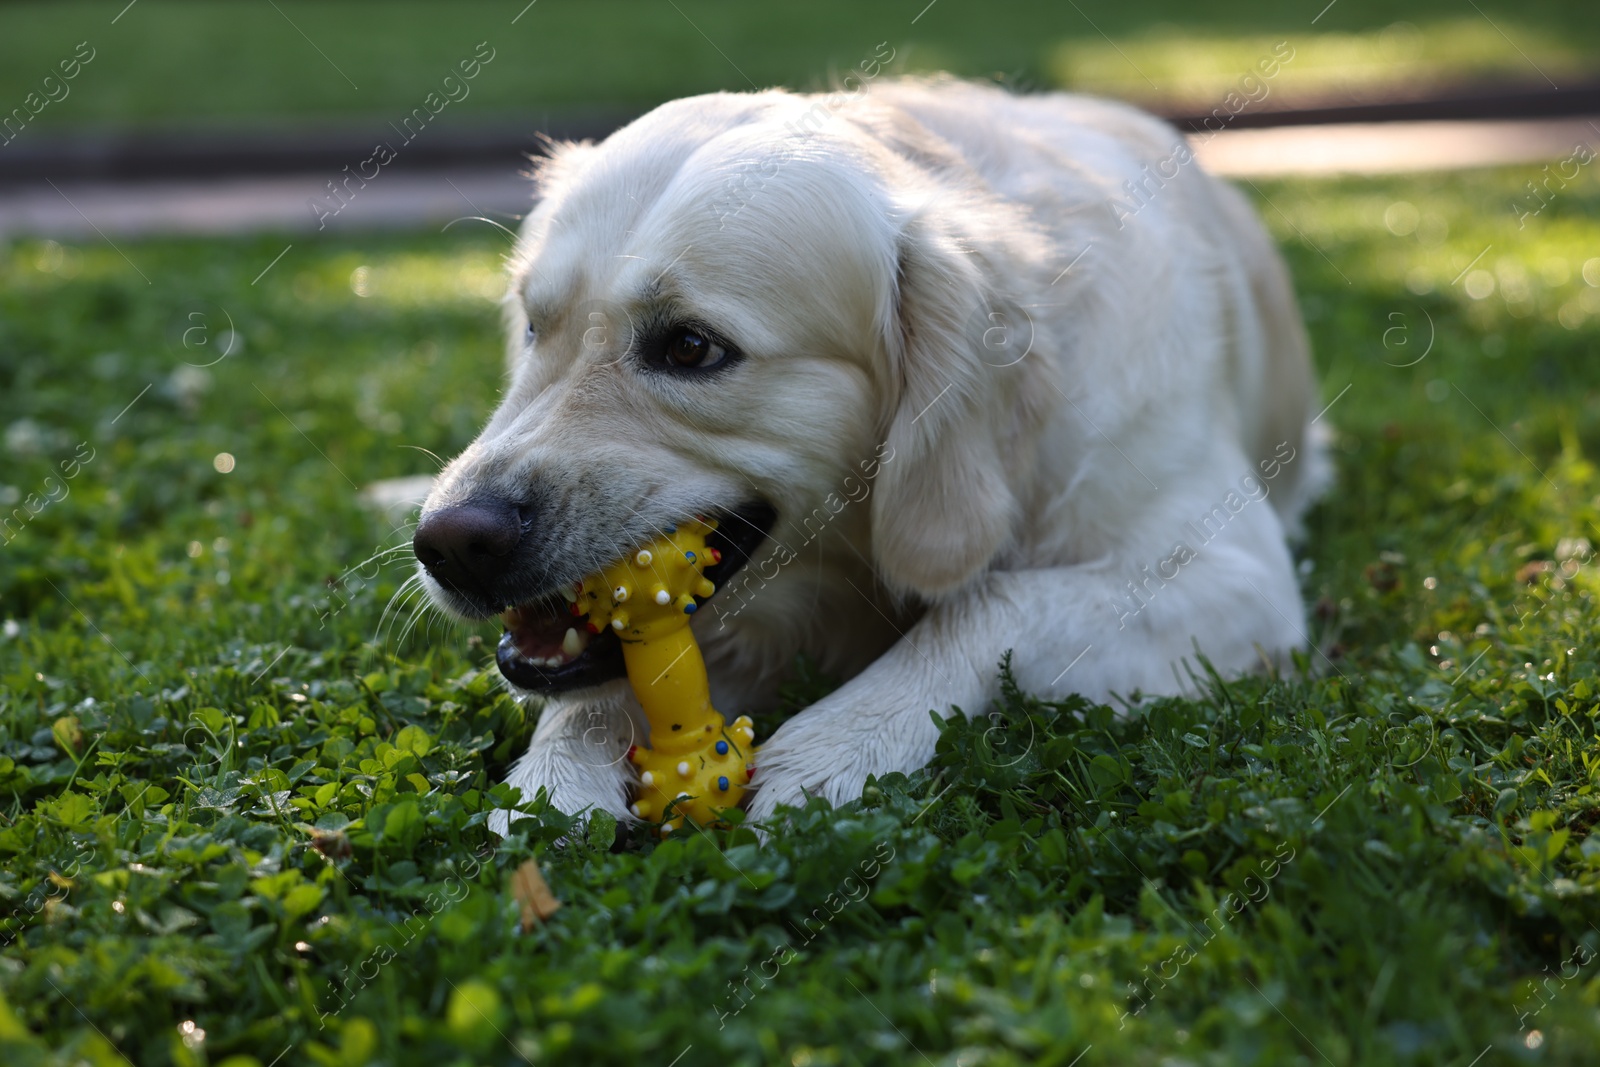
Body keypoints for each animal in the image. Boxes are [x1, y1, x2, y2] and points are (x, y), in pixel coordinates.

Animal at [409, 79, 1324, 831]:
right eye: (535, 325)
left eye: (692, 347)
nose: (449, 542)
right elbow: (592, 695)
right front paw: (557, 776)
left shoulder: (1241, 579)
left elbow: (991, 602)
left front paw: (840, 742)